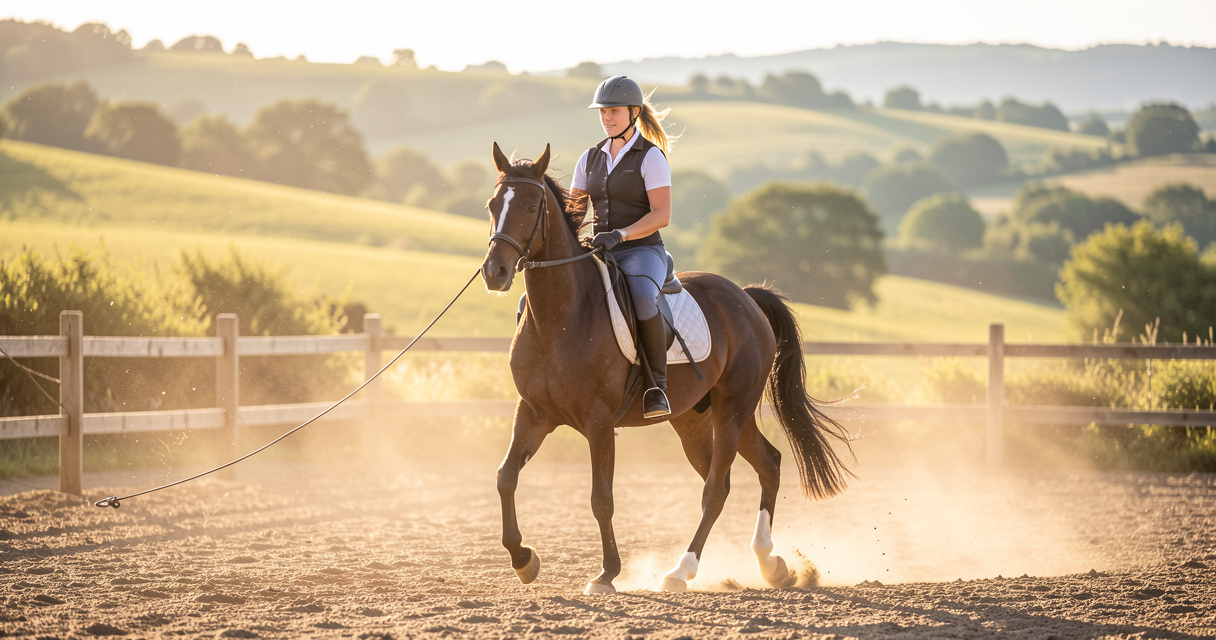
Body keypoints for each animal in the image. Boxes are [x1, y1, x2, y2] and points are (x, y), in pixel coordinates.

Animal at [480, 142, 853, 594]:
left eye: (532, 206)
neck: (561, 316)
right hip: (698, 418)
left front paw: (606, 574)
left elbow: (601, 499)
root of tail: (745, 297)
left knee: (716, 488)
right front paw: (524, 560)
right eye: (493, 205)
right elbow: (505, 477)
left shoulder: (599, 422)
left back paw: (681, 571)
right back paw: (772, 565)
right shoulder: (534, 413)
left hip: (732, 409)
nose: (494, 272)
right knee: (764, 465)